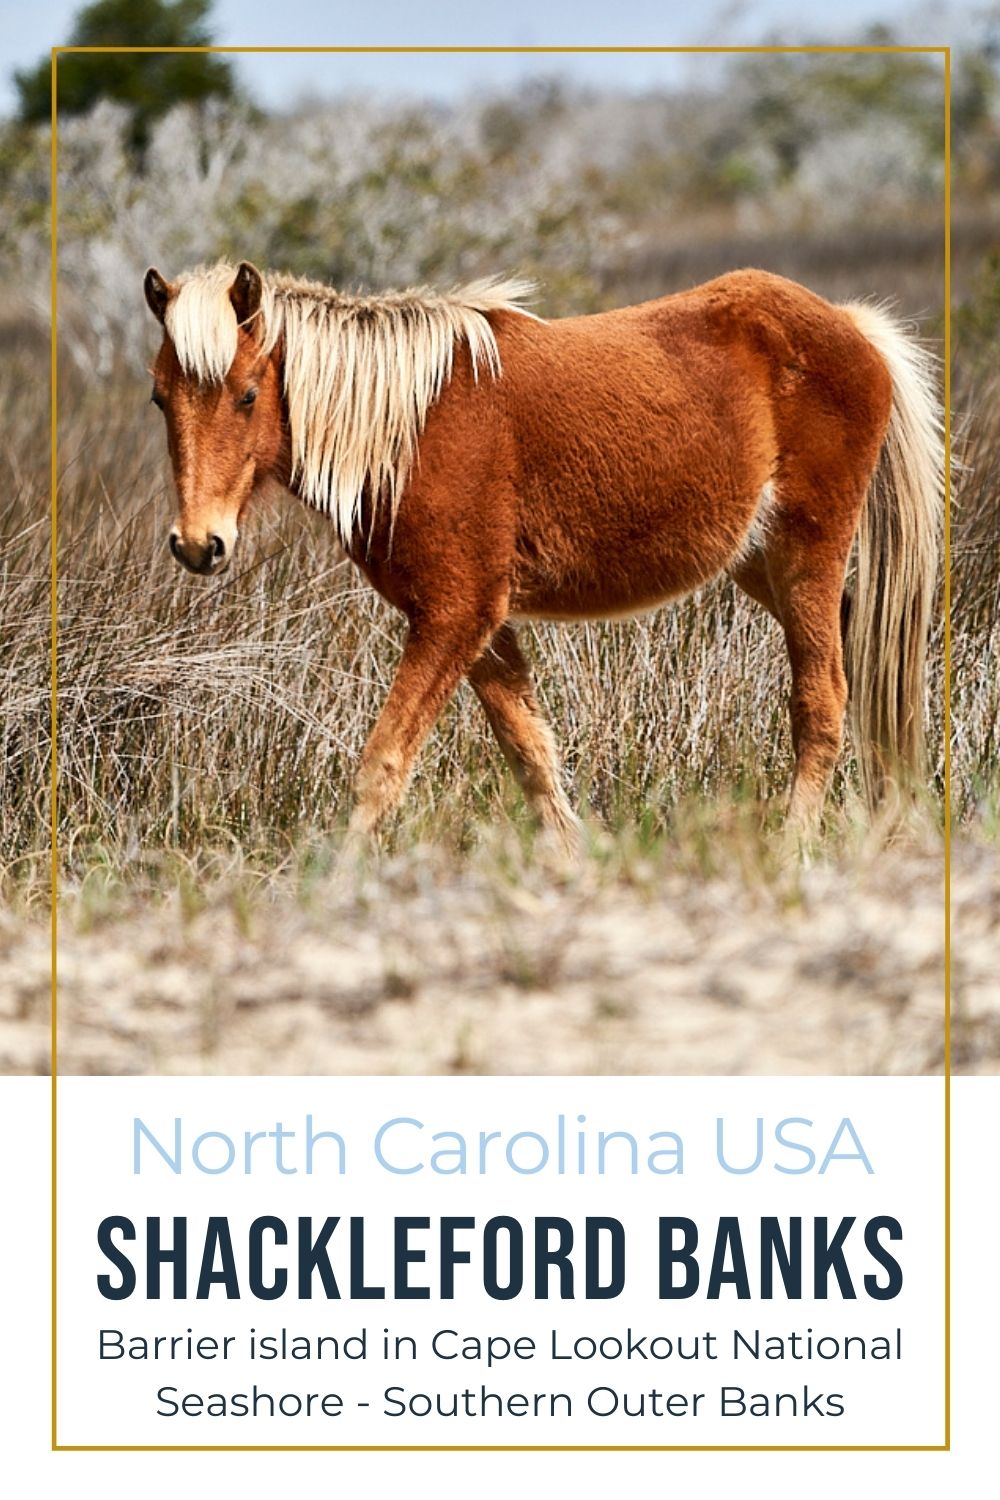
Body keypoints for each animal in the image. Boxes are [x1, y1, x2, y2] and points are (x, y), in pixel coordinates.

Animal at [143, 259, 941, 854]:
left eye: (248, 394)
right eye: (158, 399)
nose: (198, 544)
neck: (409, 428)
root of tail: (850, 327)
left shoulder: (455, 617)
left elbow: (384, 764)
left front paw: (340, 883)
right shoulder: (480, 625)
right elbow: (531, 754)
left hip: (807, 552)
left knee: (823, 703)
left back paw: (793, 846)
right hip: (761, 562)